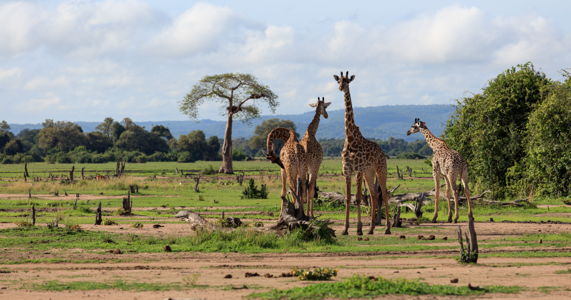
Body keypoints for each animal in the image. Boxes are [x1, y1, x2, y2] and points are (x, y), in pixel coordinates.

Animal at [332, 71, 392, 236]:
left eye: (347, 81)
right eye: (338, 81)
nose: (341, 87)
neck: (350, 138)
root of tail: (382, 152)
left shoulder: (358, 170)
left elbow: (358, 198)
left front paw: (358, 229)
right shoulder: (347, 170)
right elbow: (348, 198)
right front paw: (345, 229)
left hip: (380, 169)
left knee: (384, 193)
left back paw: (387, 228)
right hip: (369, 172)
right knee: (373, 195)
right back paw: (371, 229)